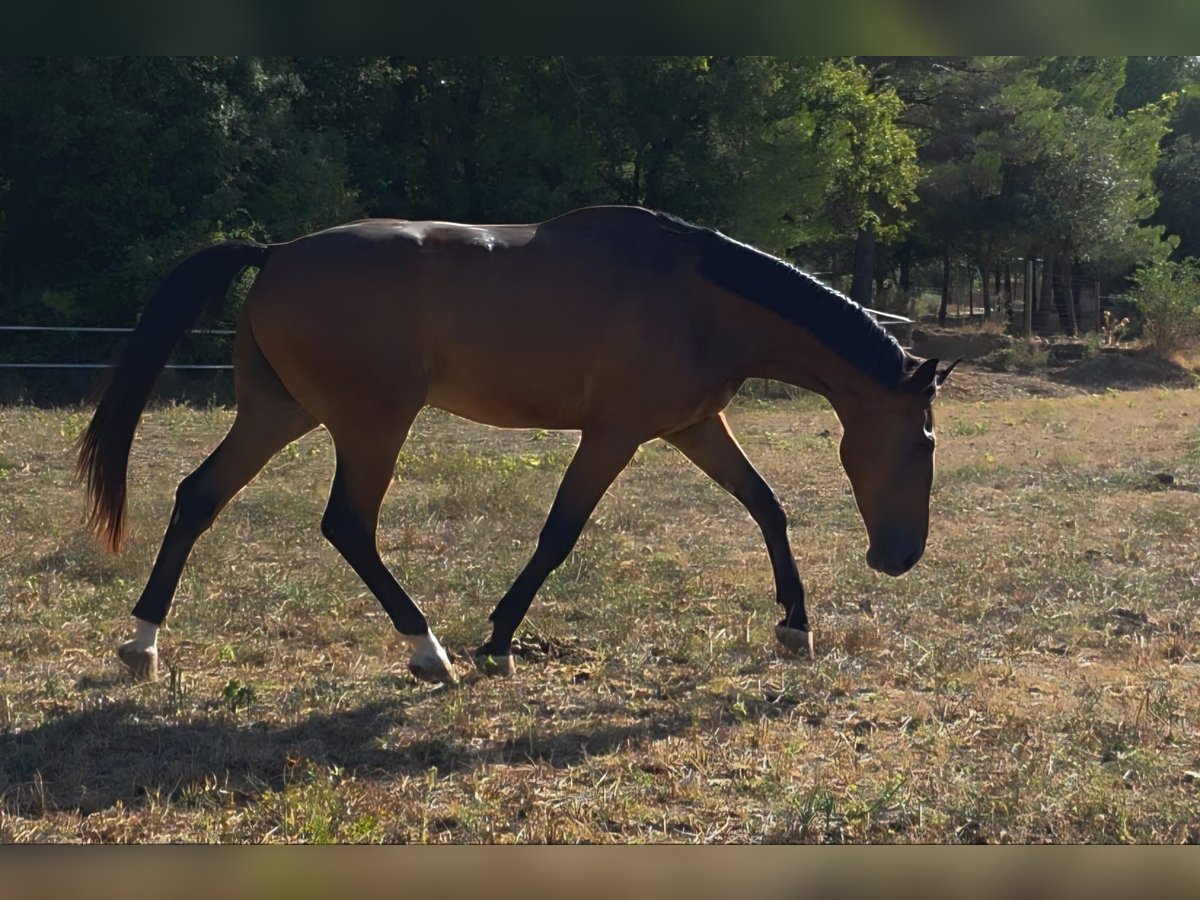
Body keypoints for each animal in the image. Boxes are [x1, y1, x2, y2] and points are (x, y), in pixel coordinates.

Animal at [77, 205, 957, 685]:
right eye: (923, 443)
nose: (901, 557)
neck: (697, 297)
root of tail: (277, 252)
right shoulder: (616, 434)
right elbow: (559, 533)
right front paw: (498, 640)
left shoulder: (694, 426)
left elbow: (767, 507)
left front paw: (796, 627)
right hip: (371, 424)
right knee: (347, 526)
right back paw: (429, 652)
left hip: (278, 413)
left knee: (198, 497)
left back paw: (142, 643)